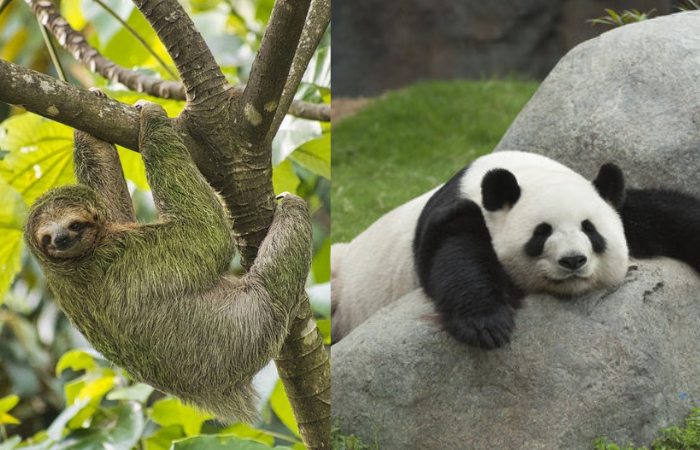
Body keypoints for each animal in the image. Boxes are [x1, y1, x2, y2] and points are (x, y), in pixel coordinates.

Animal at [331, 150, 700, 348]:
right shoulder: (456, 213)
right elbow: (454, 254)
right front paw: (487, 325)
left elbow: (663, 212)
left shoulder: (621, 206)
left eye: (590, 229)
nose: (573, 261)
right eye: (542, 233)